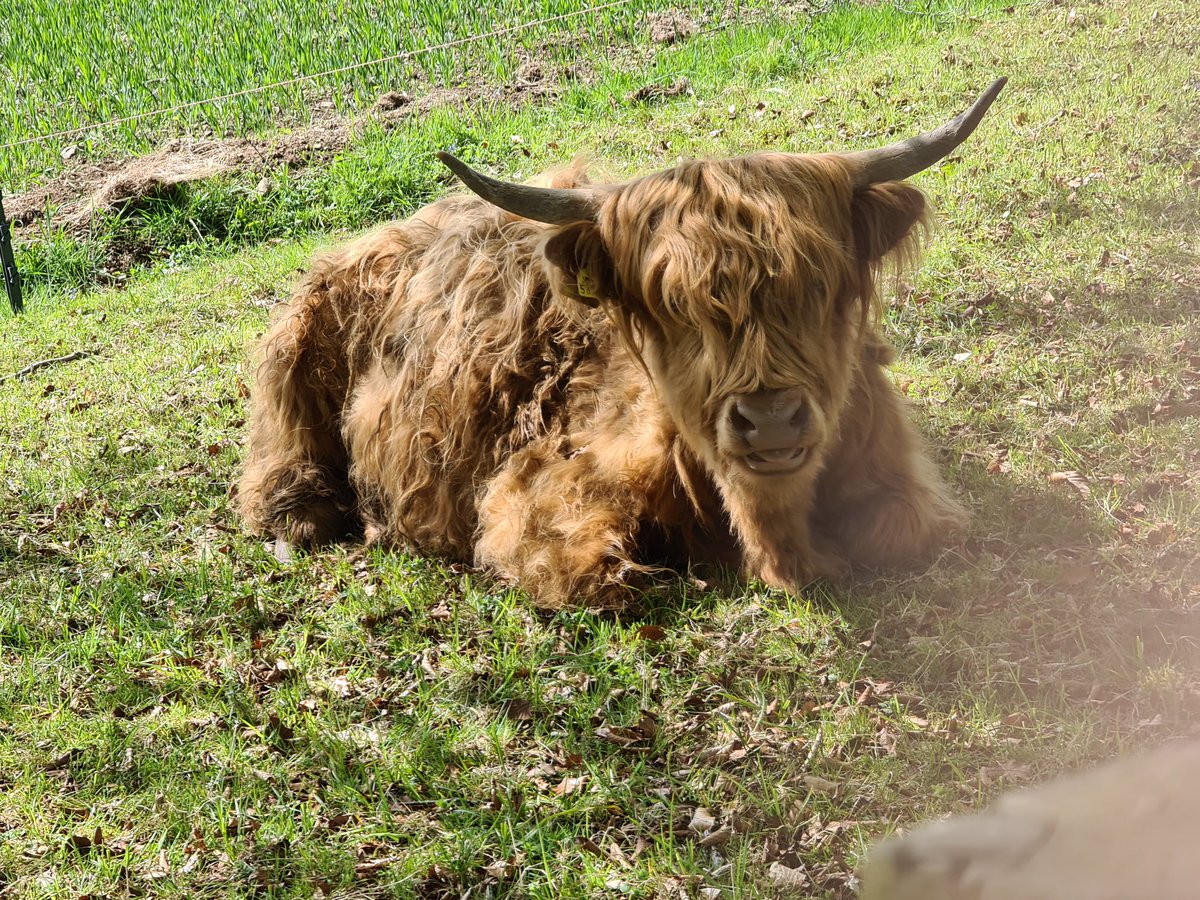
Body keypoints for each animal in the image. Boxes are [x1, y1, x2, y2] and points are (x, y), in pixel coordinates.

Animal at [237, 79, 1006, 609]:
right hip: (294, 347)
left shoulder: (906, 487)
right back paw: (304, 512)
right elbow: (602, 577)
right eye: (673, 305)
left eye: (817, 283)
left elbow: (907, 531)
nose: (771, 420)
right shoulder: (538, 493)